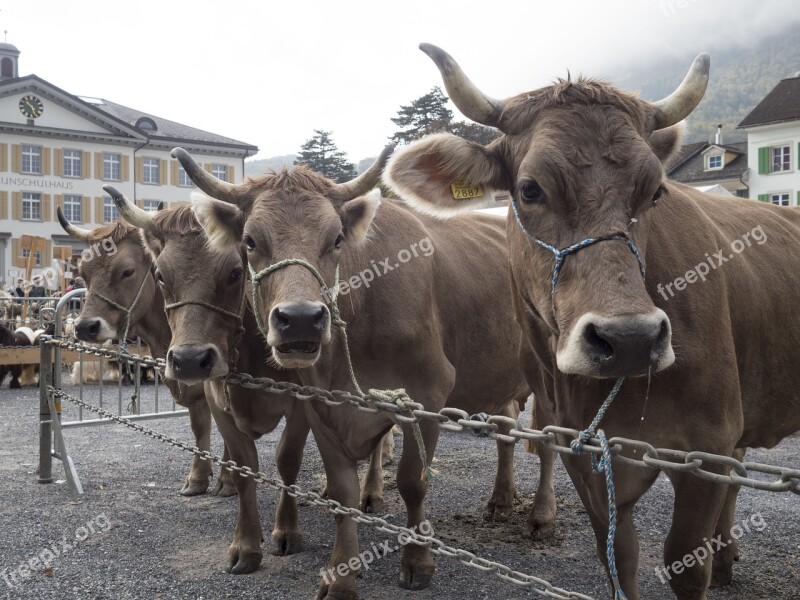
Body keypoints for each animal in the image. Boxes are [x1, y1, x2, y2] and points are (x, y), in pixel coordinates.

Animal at [57, 210, 234, 496]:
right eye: (83, 273)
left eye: (127, 271)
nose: (85, 327)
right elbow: (199, 427)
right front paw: (197, 478)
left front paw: (228, 481)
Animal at [170, 145, 556, 600]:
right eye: (249, 242)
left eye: (336, 239)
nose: (300, 320)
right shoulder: (320, 403)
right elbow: (343, 492)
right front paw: (341, 575)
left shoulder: (427, 394)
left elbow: (412, 482)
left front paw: (417, 561)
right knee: (507, 427)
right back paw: (500, 500)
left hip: (549, 376)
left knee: (549, 443)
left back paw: (541, 516)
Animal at [384, 43, 796, 600]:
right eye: (530, 189)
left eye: (656, 192)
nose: (630, 339)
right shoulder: (582, 450)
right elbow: (619, 558)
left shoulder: (707, 446)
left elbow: (687, 563)